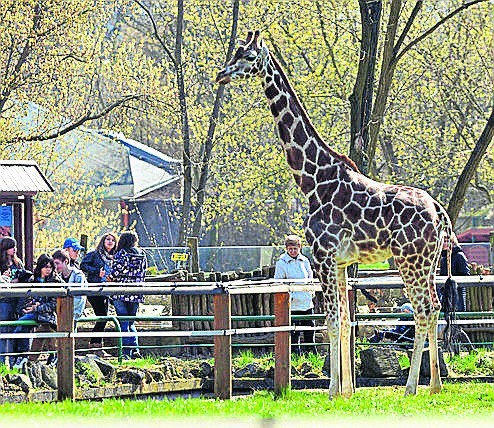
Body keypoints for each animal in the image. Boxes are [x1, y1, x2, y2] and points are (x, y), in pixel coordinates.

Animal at [216, 30, 456, 398]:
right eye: (236, 52)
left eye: (249, 57)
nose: (221, 74)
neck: (314, 181)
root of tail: (439, 212)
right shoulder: (342, 262)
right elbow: (344, 322)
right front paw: (346, 391)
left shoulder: (322, 256)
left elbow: (330, 322)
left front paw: (331, 391)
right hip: (428, 262)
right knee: (434, 307)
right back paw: (435, 386)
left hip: (409, 260)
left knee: (422, 310)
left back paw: (410, 388)